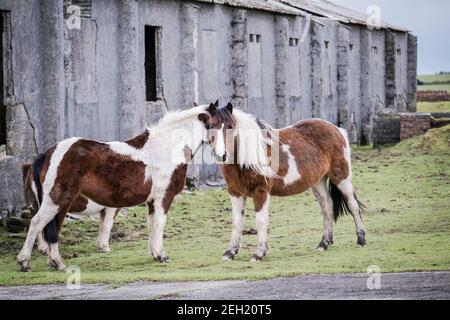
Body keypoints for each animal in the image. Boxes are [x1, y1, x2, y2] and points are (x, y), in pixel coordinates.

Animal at [18, 105, 212, 270]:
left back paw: (56, 263)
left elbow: (150, 225)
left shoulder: (150, 202)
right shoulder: (162, 198)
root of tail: (49, 152)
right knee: (36, 224)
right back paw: (25, 262)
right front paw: (161, 256)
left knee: (52, 231)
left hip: (61, 204)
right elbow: (157, 224)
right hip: (55, 201)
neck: (164, 148)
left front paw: (154, 253)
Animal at [204, 104, 366, 262]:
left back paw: (361, 240)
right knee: (327, 206)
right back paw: (323, 244)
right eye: (210, 125)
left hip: (341, 178)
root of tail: (337, 129)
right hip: (318, 181)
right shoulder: (235, 192)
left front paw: (259, 253)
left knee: (353, 205)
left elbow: (261, 221)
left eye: (230, 126)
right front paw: (230, 252)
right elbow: (237, 222)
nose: (221, 155)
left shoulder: (261, 192)